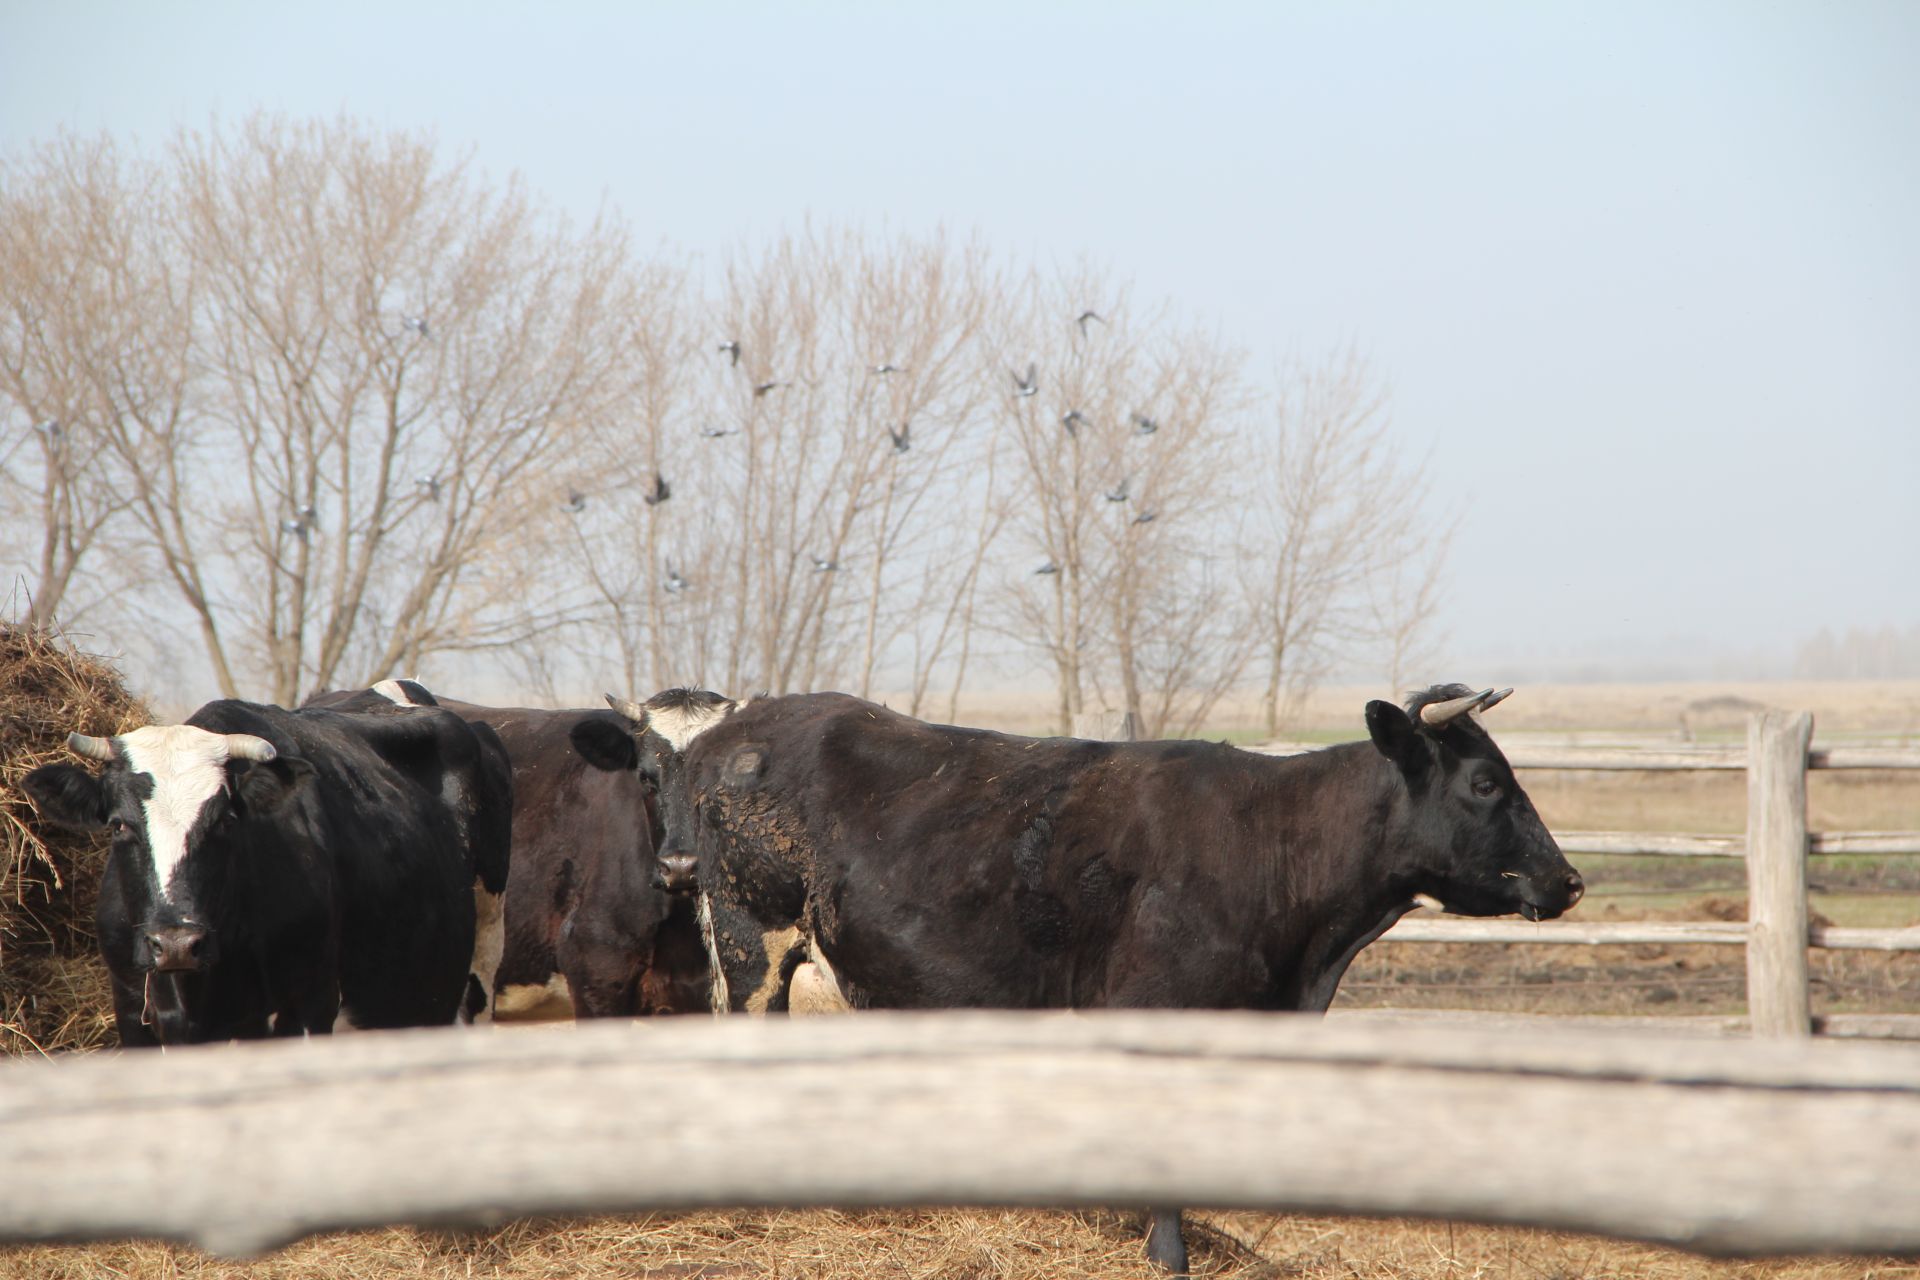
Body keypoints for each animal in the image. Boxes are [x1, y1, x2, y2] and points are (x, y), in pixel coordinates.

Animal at [20, 702, 510, 1051]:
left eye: (225, 821)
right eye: (119, 825)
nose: (176, 942)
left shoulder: (308, 1005)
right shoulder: (132, 1010)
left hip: (477, 972)